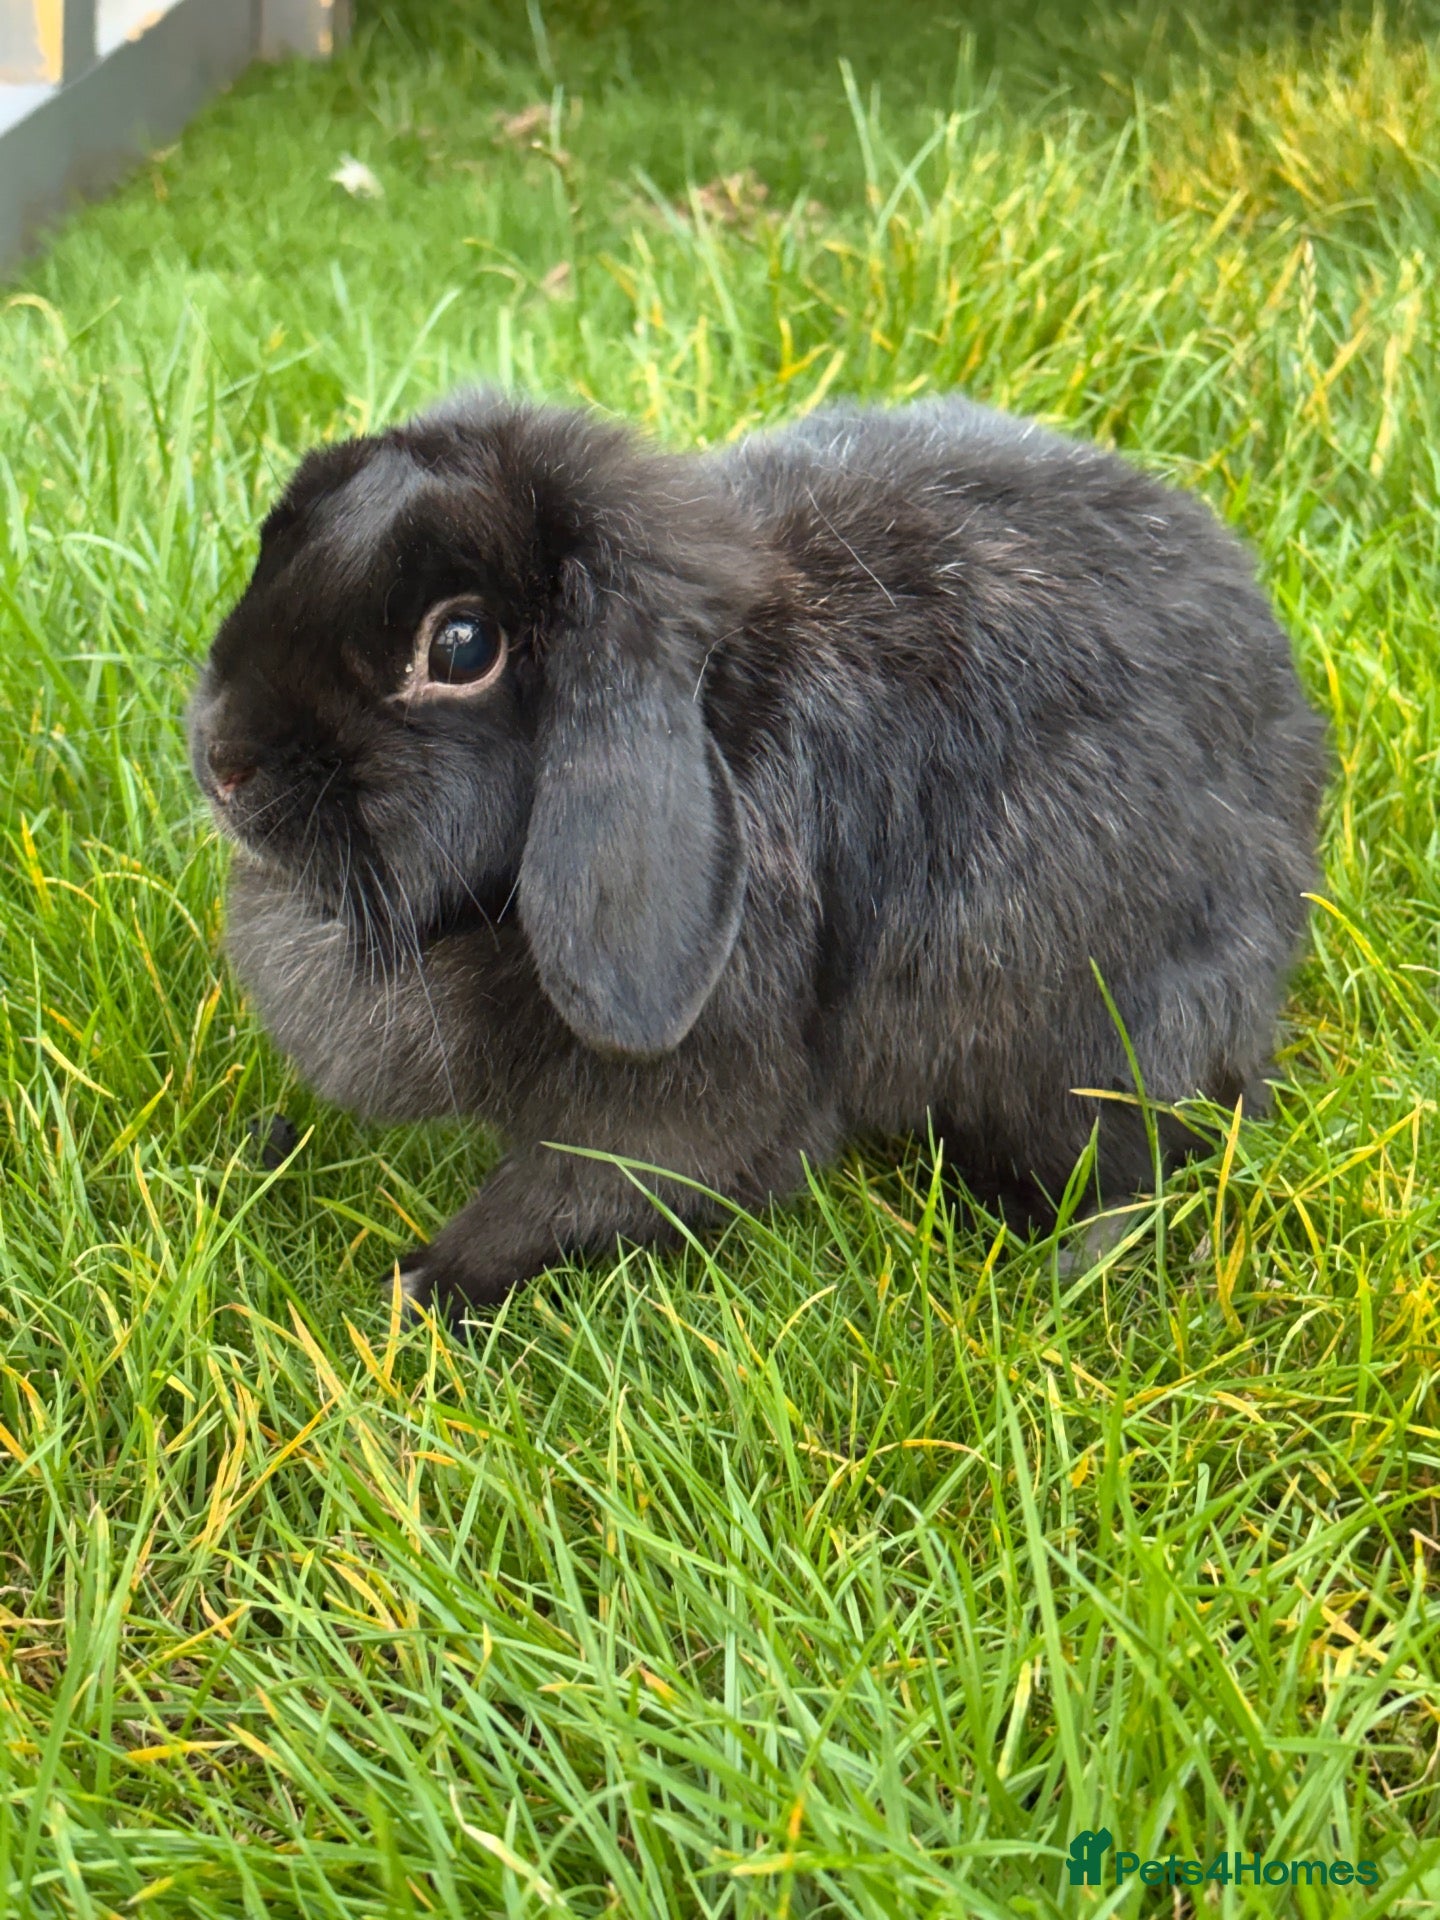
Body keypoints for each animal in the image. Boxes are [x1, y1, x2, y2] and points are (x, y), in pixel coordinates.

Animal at [187, 388, 1327, 1318]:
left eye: (461, 646)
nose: (223, 760)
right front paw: (267, 1155)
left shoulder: (686, 1093)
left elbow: (573, 1191)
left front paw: (416, 1288)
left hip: (1095, 1038)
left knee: (1146, 1159)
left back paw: (1063, 1270)